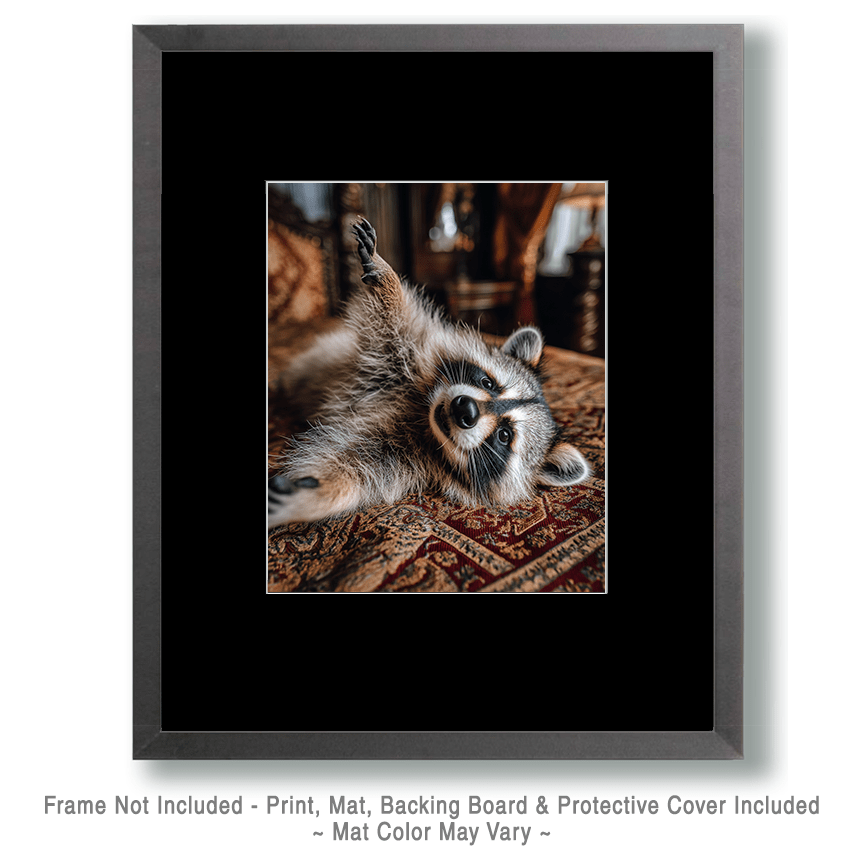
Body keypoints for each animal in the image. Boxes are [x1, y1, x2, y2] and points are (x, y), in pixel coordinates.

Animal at [267, 217, 590, 526]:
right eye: (488, 382)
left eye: (504, 435)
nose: (464, 408)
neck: (423, 418)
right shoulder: (403, 358)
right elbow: (394, 322)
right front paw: (388, 279)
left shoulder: (400, 456)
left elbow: (353, 472)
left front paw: (315, 495)